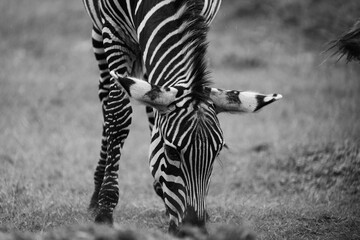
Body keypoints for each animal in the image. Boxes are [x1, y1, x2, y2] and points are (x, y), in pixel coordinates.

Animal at [81, 0, 282, 233]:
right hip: (99, 33)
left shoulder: (202, 20)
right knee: (106, 98)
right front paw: (105, 210)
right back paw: (97, 193)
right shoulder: (114, 30)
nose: (193, 229)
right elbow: (118, 114)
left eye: (217, 153)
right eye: (171, 152)